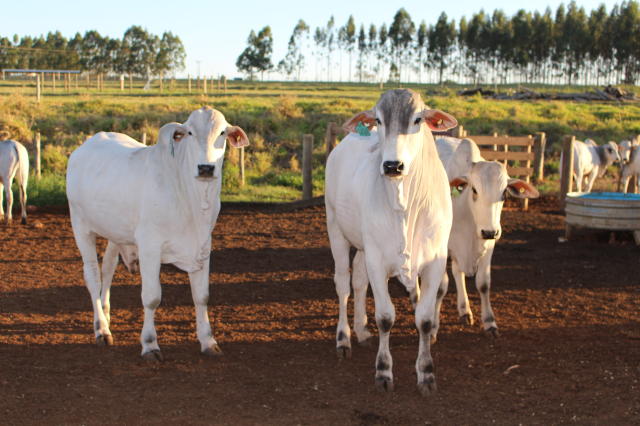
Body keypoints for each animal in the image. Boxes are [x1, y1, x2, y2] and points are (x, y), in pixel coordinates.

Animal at [67, 106, 248, 360]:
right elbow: (152, 298)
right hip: (81, 225)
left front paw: (208, 341)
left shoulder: (203, 246)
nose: (205, 168)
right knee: (92, 276)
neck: (193, 198)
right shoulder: (150, 248)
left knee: (108, 269)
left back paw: (106, 315)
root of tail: (83, 148)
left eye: (222, 132)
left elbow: (201, 296)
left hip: (115, 231)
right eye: (189, 132)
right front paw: (150, 344)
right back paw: (101, 329)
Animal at [328, 90, 458, 396]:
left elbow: (424, 319)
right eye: (378, 120)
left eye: (418, 119)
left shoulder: (434, 262)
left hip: (362, 245)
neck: (405, 206)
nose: (392, 165)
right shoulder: (377, 261)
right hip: (336, 230)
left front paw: (426, 373)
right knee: (343, 285)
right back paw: (344, 338)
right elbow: (386, 317)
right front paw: (384, 371)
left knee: (358, 281)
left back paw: (362, 330)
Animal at [436, 138, 540, 338]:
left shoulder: (488, 246)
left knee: (458, 272)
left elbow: (483, 284)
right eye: (475, 190)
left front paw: (490, 322)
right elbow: (440, 287)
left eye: (504, 193)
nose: (489, 232)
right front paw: (432, 326)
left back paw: (464, 310)